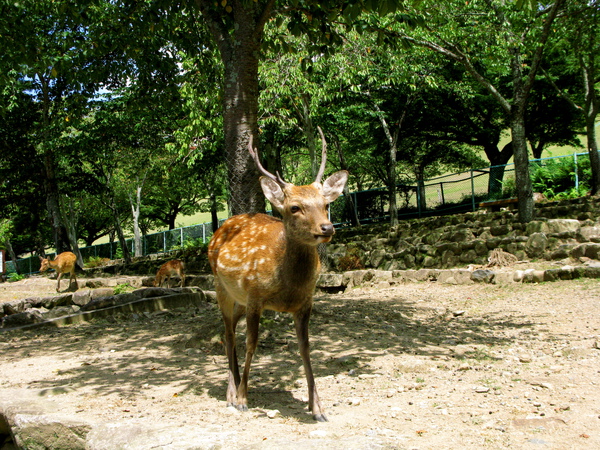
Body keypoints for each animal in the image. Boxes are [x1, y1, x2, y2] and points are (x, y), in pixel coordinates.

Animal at [207, 129, 346, 422]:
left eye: (325, 204)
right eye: (294, 207)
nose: (327, 227)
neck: (288, 285)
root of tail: (220, 228)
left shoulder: (305, 302)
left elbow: (305, 348)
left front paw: (318, 407)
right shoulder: (256, 296)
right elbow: (251, 343)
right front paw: (243, 400)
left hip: (239, 300)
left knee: (229, 332)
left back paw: (237, 384)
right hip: (221, 287)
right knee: (228, 334)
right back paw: (231, 393)